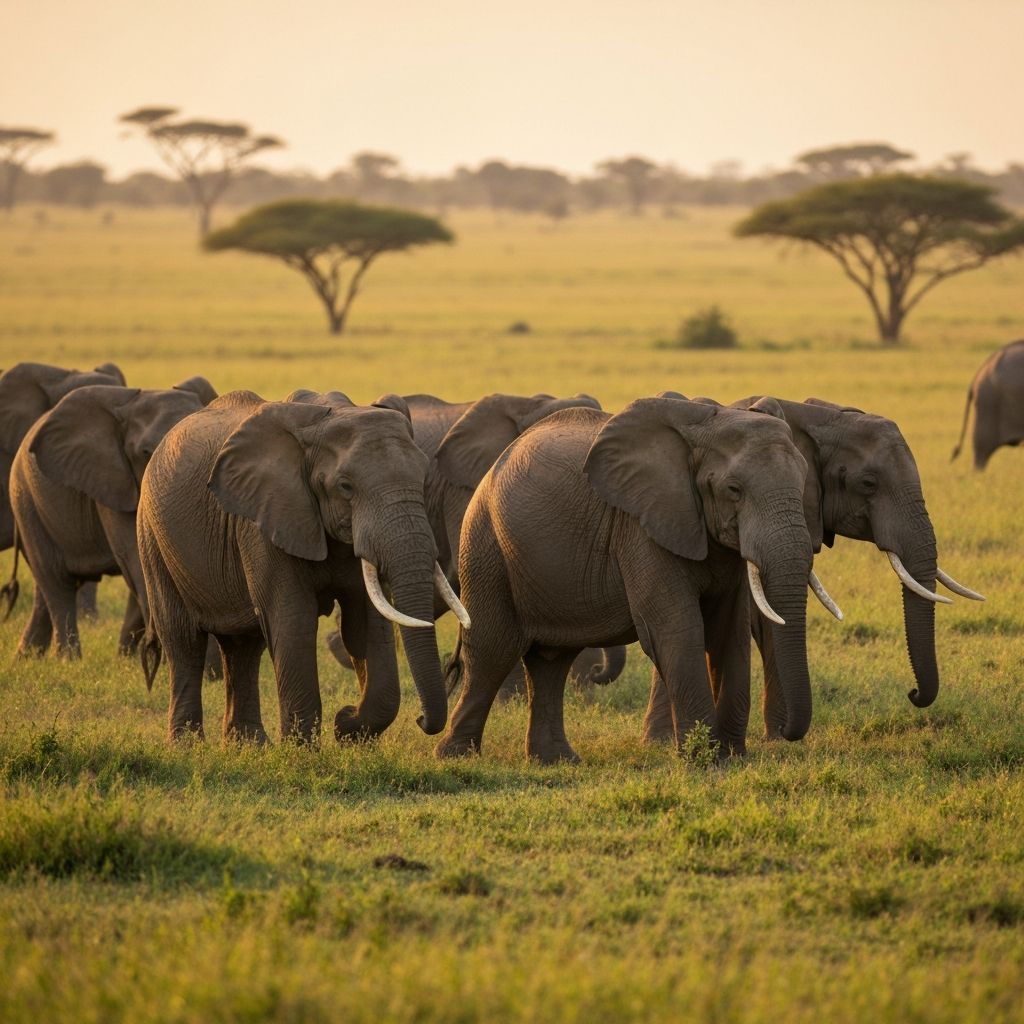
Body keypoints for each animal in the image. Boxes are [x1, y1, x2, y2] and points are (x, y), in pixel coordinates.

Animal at [7, 378, 218, 660]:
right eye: (145, 452)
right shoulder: (111, 478)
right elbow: (135, 555)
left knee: (46, 589)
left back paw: (29, 658)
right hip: (26, 498)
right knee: (56, 582)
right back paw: (67, 661)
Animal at [136, 390, 466, 744]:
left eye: (423, 480)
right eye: (346, 487)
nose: (420, 719)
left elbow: (366, 624)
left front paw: (346, 726)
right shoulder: (265, 520)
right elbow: (293, 620)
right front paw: (302, 749)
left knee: (243, 645)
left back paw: (250, 745)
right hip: (153, 535)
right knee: (184, 640)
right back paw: (187, 744)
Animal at [436, 397, 821, 765]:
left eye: (804, 479)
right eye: (734, 489)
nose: (786, 733)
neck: (703, 427)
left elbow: (730, 631)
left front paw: (732, 756)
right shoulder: (641, 527)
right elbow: (677, 629)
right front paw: (707, 761)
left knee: (551, 660)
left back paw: (556, 760)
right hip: (485, 543)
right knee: (493, 650)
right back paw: (455, 755)